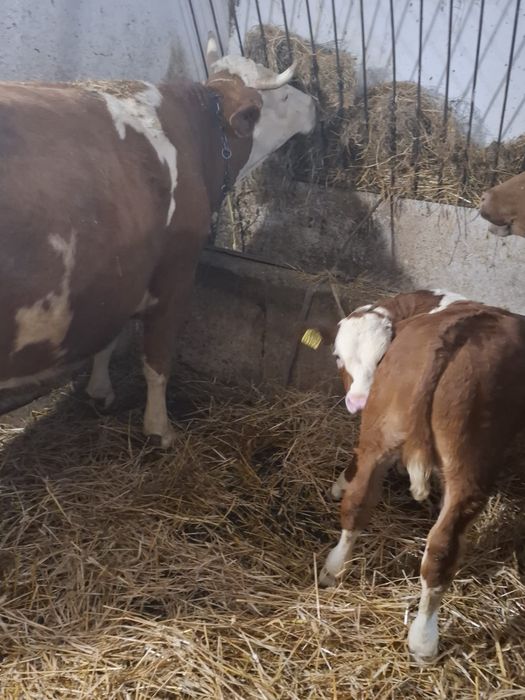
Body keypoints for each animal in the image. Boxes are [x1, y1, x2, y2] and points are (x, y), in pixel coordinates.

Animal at [0, 34, 316, 446]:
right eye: (283, 97)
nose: (314, 105)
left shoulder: (119, 272)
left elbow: (108, 337)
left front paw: (100, 391)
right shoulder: (175, 271)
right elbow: (157, 359)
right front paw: (160, 428)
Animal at [315, 300, 525, 663]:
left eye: (379, 357)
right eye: (338, 356)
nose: (357, 402)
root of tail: (455, 333)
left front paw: (341, 483)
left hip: (381, 430)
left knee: (357, 505)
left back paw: (334, 568)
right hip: (471, 463)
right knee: (441, 550)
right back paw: (424, 639)